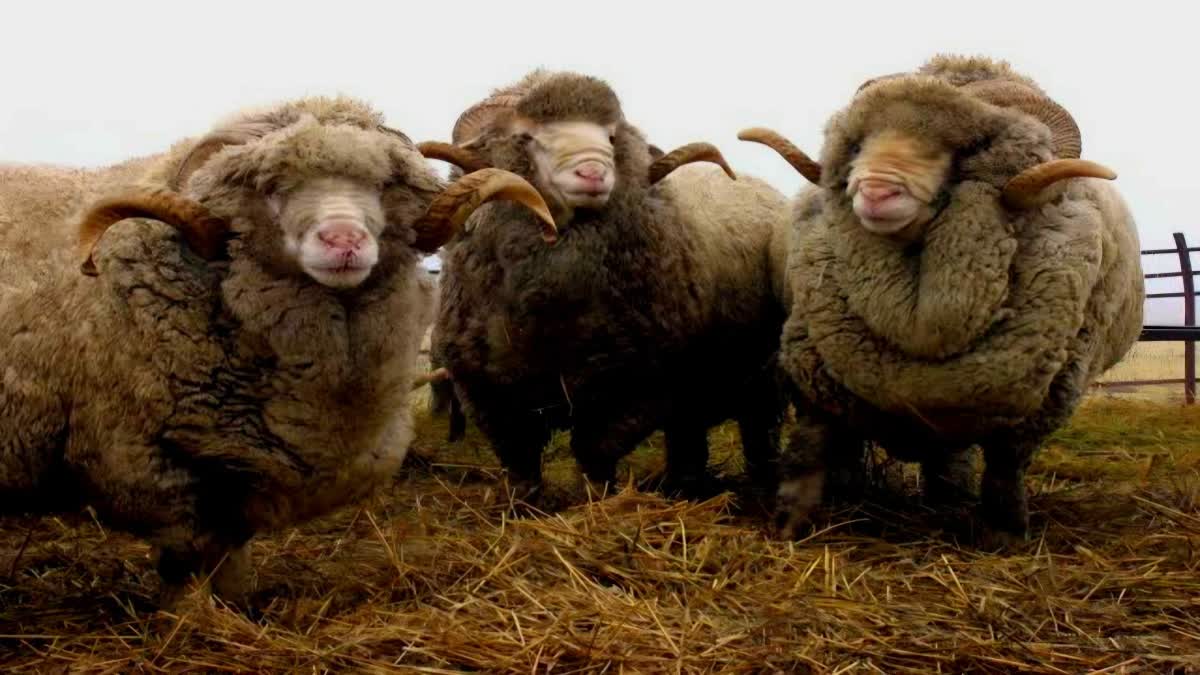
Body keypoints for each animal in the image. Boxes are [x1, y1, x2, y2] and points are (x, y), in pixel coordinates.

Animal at [0, 94, 552, 605]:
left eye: (384, 186)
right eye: (270, 189)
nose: (343, 241)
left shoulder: (240, 477)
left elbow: (230, 563)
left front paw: (235, 613)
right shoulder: (144, 466)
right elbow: (184, 566)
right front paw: (187, 623)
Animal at [417, 69, 792, 499]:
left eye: (611, 137)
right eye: (526, 137)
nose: (594, 173)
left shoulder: (635, 389)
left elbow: (595, 456)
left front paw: (597, 503)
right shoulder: (490, 395)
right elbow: (521, 463)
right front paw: (520, 504)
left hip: (763, 378)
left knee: (758, 431)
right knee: (689, 436)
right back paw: (685, 486)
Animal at [739, 55, 1142, 542]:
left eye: (964, 148)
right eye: (860, 143)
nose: (874, 191)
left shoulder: (1041, 404)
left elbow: (1006, 470)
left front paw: (1007, 533)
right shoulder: (814, 378)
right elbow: (807, 454)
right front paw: (788, 528)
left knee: (952, 457)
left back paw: (950, 499)